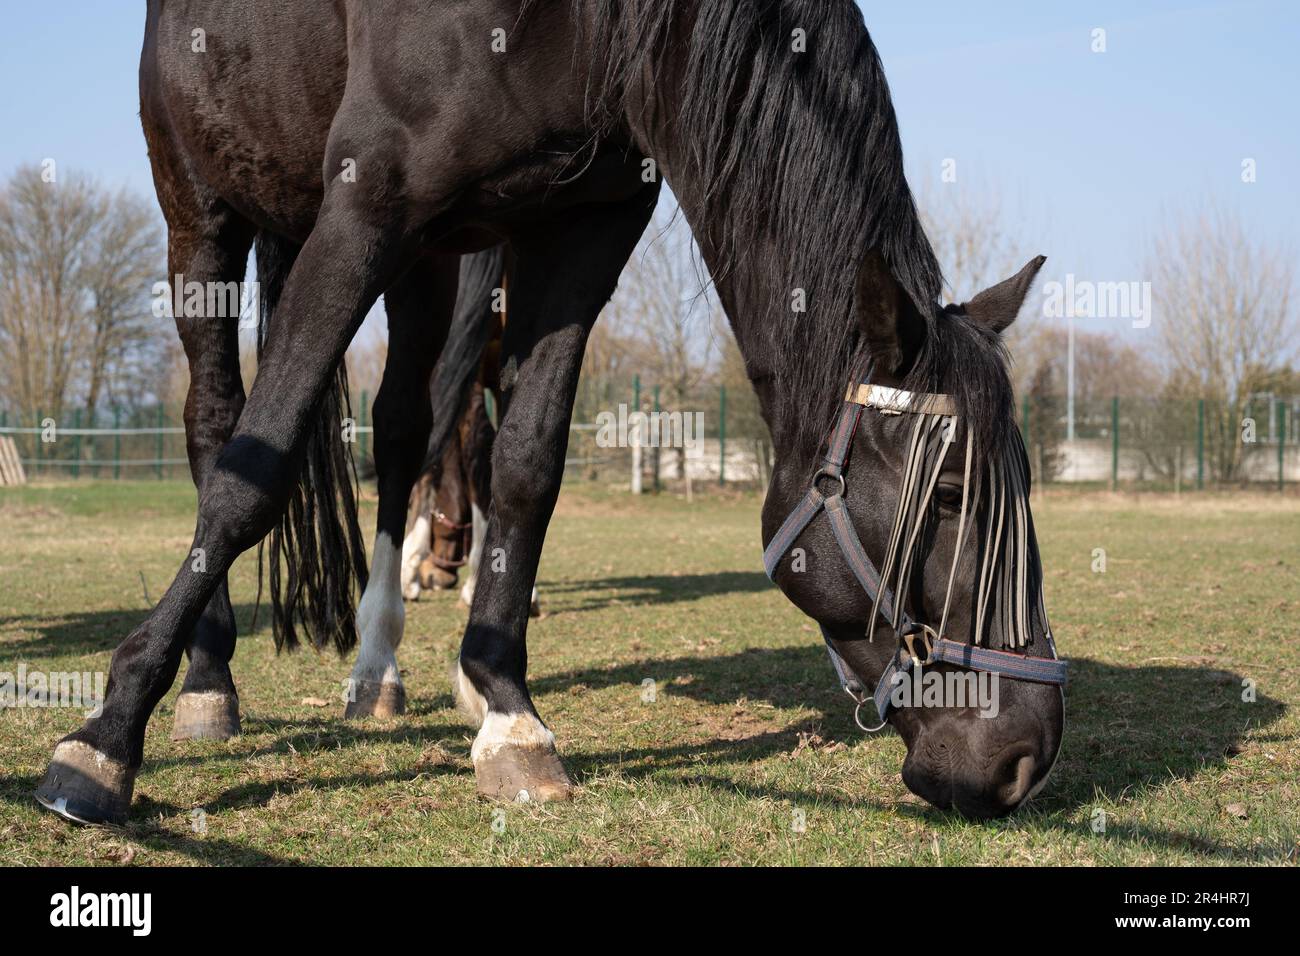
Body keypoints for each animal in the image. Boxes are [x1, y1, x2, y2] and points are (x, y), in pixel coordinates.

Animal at [35, 0, 1066, 827]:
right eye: (948, 497)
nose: (1026, 755)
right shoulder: (366, 202)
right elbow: (258, 465)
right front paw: (106, 737)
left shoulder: (584, 228)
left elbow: (526, 466)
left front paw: (506, 709)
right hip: (201, 211)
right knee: (218, 424)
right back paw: (209, 681)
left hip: (430, 263)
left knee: (405, 427)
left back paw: (380, 668)